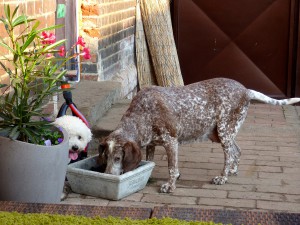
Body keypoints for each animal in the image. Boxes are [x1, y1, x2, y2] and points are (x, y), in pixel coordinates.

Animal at [98, 78, 300, 192]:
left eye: (118, 158)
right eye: (106, 157)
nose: (107, 175)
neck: (142, 113)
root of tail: (246, 90)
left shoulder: (171, 142)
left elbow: (172, 168)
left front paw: (170, 185)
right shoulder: (151, 144)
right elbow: (150, 161)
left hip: (224, 131)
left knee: (230, 155)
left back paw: (223, 177)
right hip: (225, 133)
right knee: (238, 151)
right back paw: (233, 170)